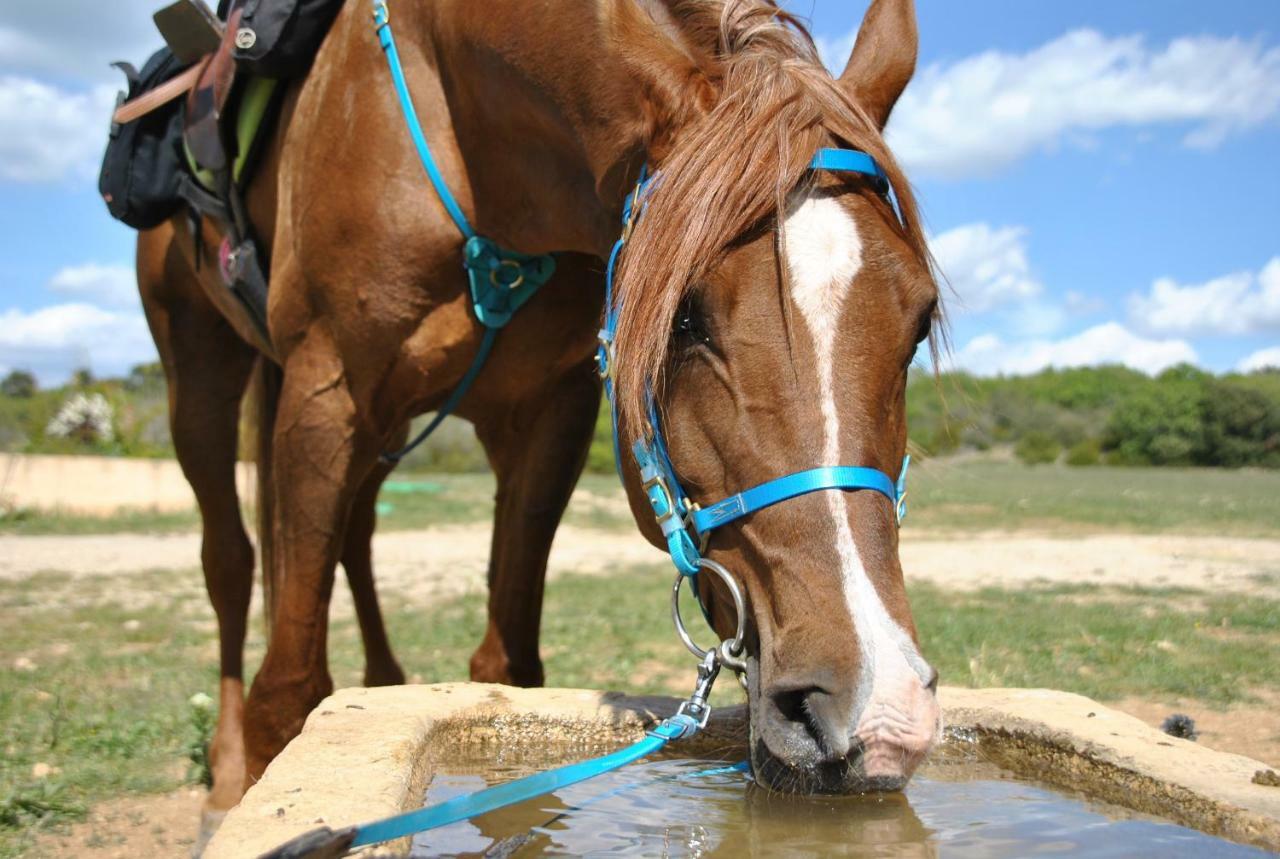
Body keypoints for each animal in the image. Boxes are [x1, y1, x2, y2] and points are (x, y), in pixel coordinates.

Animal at [137, 0, 942, 834]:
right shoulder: (324, 391)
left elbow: (508, 675)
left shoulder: (547, 412)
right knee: (230, 561)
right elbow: (288, 686)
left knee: (353, 534)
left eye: (918, 321)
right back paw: (227, 780)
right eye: (685, 318)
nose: (880, 714)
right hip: (201, 373)